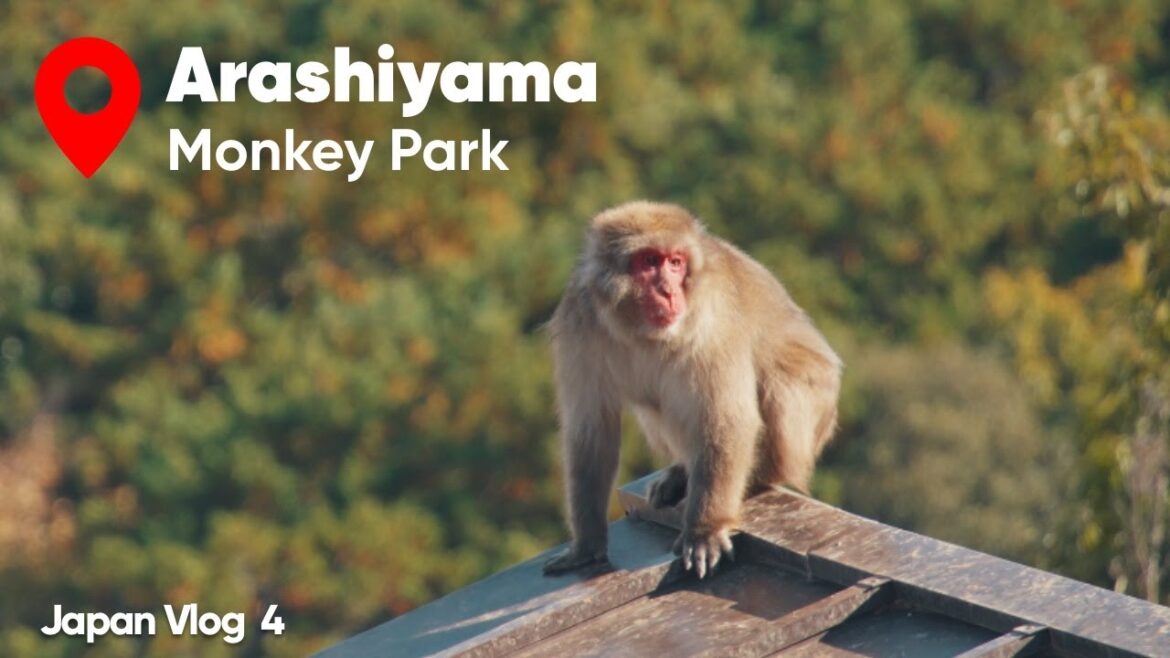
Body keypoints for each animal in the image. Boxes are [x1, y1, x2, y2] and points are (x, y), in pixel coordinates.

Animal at [543, 201, 841, 579]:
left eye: (675, 262)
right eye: (649, 261)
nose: (669, 291)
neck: (640, 330)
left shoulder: (712, 323)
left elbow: (727, 420)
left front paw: (704, 531)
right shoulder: (579, 320)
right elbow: (591, 431)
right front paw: (586, 545)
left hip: (814, 413)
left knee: (778, 383)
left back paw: (755, 478)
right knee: (653, 403)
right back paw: (682, 474)